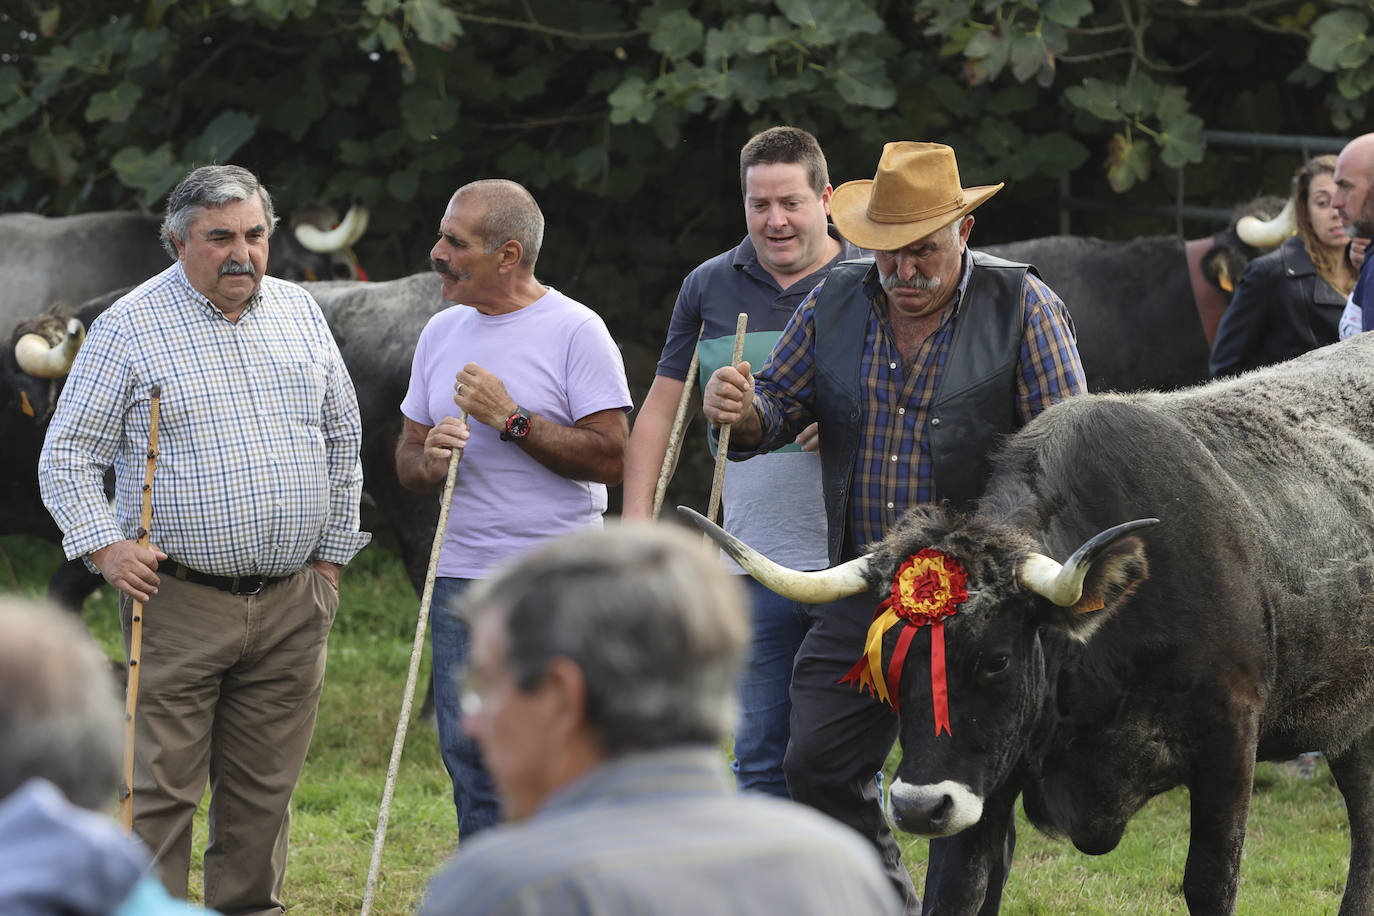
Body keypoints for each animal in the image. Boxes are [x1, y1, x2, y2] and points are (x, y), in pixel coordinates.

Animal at [687, 330, 1374, 916]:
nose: (916, 808)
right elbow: (960, 887)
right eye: (888, 658)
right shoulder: (988, 775)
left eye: (997, 659)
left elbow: (1210, 883)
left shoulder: (1230, 737)